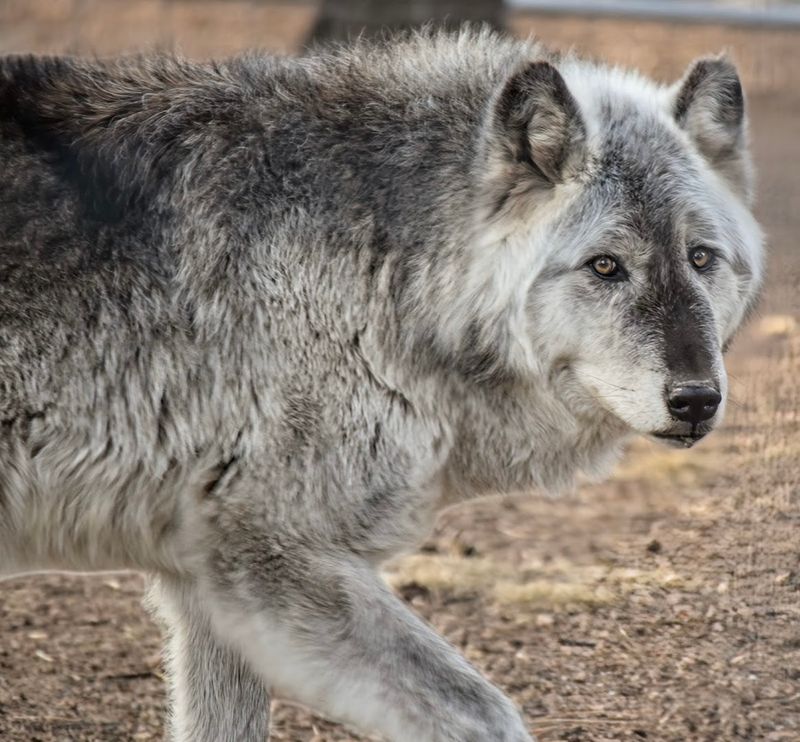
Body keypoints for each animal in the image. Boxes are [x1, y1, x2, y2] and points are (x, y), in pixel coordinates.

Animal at [0, 28, 762, 742]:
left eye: (701, 259)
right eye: (605, 266)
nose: (697, 400)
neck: (387, 267)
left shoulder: (205, 586)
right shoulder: (272, 559)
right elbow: (484, 714)